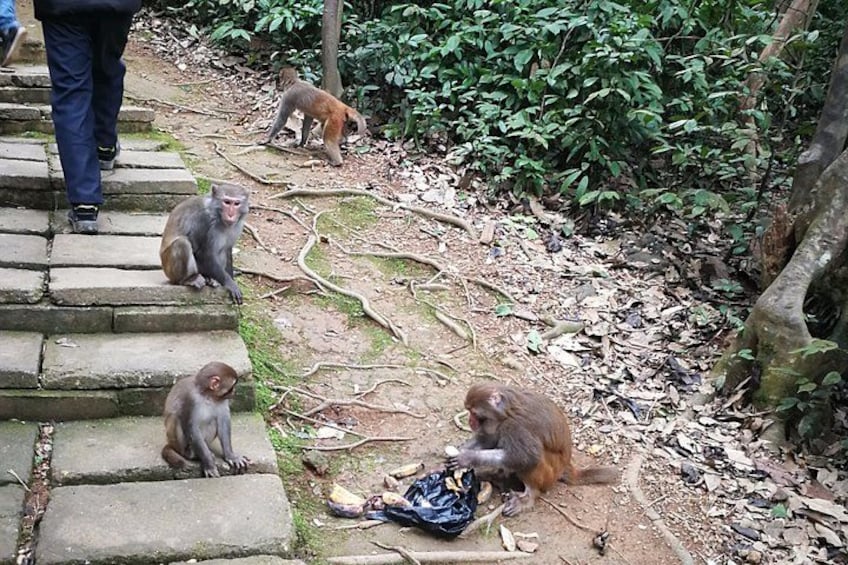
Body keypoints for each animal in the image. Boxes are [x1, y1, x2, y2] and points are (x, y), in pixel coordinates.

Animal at [449, 383, 618, 517]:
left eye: (474, 413)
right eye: (468, 411)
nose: (470, 421)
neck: (507, 412)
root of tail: (565, 466)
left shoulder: (516, 427)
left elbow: (526, 457)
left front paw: (467, 458)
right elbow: (488, 440)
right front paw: (455, 456)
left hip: (550, 473)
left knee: (532, 463)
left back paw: (529, 496)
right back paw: (497, 475)